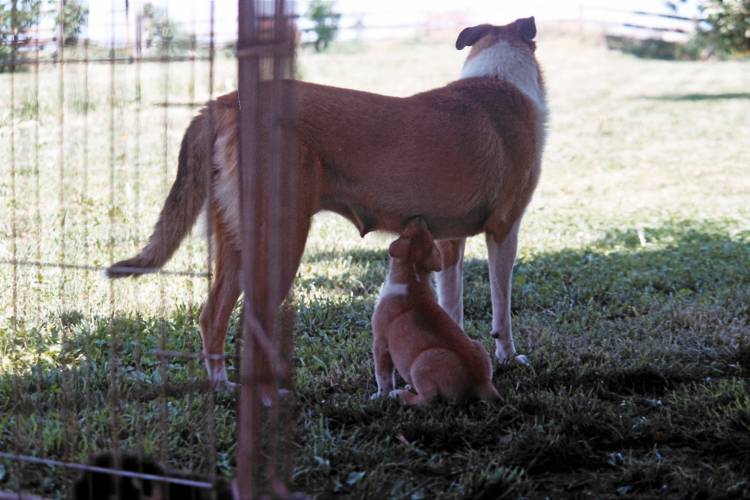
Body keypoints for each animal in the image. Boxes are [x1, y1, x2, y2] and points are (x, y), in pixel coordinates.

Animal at [374, 220, 502, 406]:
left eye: (405, 233)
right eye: (428, 233)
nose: (419, 218)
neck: (414, 276)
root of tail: (481, 381)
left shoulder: (380, 342)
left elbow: (383, 375)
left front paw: (380, 395)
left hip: (420, 364)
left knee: (427, 400)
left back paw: (399, 395)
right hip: (478, 345)